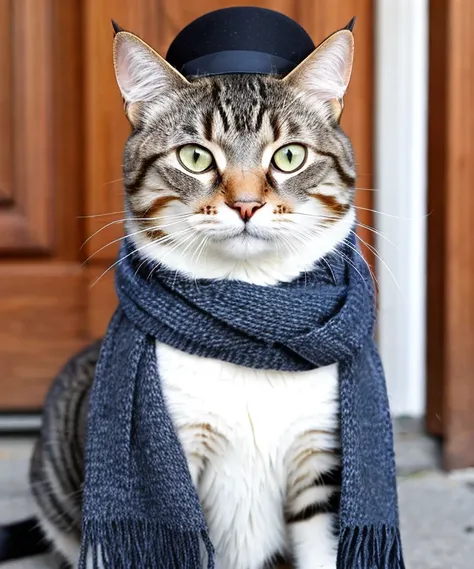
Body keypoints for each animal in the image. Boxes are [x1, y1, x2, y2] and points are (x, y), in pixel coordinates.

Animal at [0, 18, 358, 568]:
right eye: (195, 157)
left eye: (289, 156)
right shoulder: (178, 468)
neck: (249, 330)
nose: (247, 204)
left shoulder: (318, 454)